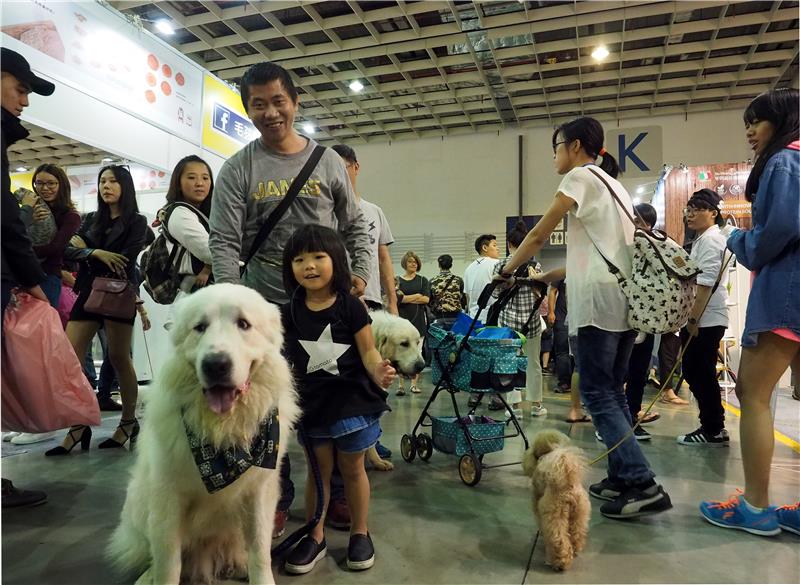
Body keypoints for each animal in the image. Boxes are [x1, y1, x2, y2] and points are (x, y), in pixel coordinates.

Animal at [109, 280, 300, 580]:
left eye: (243, 324)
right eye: (200, 327)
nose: (216, 364)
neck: (221, 435)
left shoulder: (259, 493)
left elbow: (260, 551)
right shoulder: (167, 498)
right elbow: (167, 561)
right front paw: (160, 578)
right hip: (139, 501)